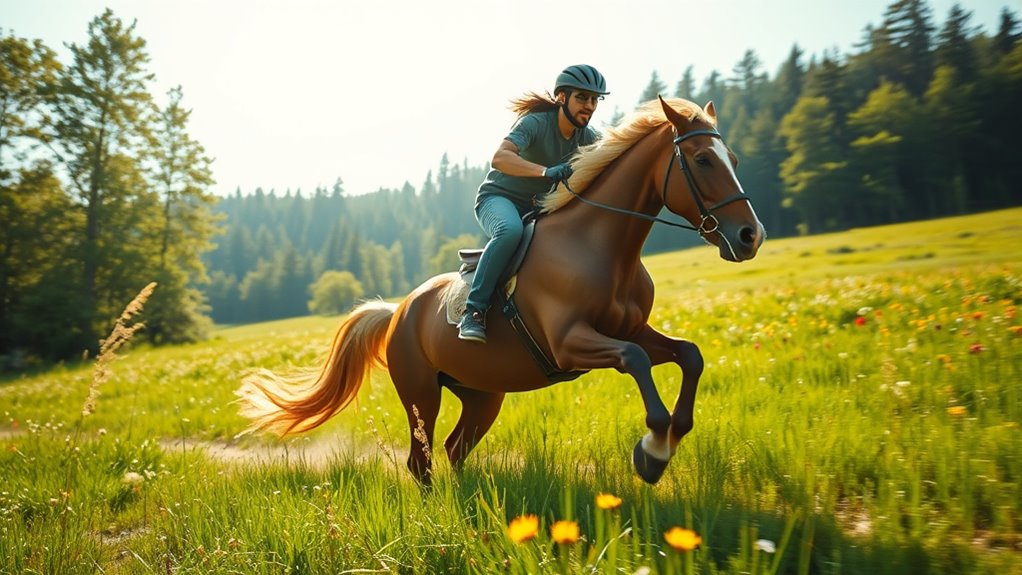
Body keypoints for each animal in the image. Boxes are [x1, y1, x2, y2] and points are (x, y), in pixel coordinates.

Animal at [237, 96, 765, 485]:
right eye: (702, 159)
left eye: (735, 159)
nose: (750, 236)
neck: (599, 246)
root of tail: (399, 311)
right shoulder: (572, 342)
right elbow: (635, 360)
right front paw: (652, 451)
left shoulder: (632, 328)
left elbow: (689, 355)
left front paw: (671, 438)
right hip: (420, 396)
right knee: (420, 460)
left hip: (482, 396)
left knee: (454, 449)